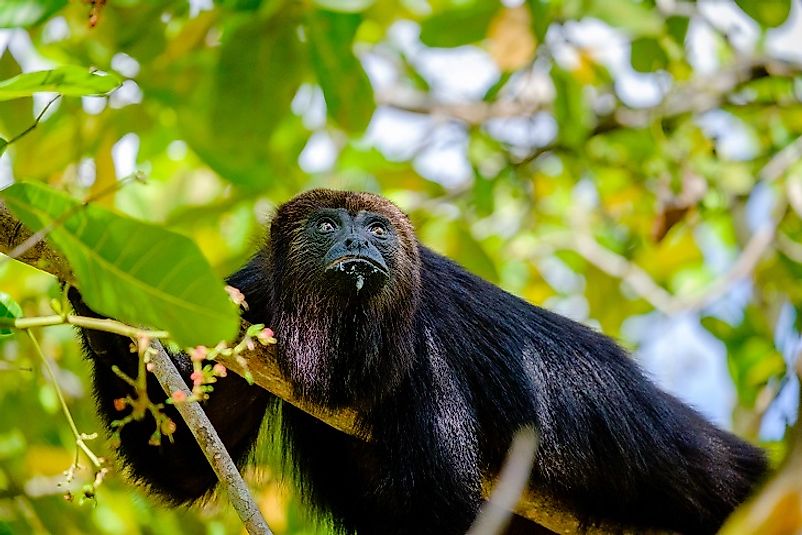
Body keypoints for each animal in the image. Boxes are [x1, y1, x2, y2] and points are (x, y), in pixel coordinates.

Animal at [72, 191, 764, 535]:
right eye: (327, 226)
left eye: (376, 230)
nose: (357, 241)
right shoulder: (250, 305)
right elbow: (184, 461)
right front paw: (99, 305)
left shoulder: (427, 354)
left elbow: (441, 507)